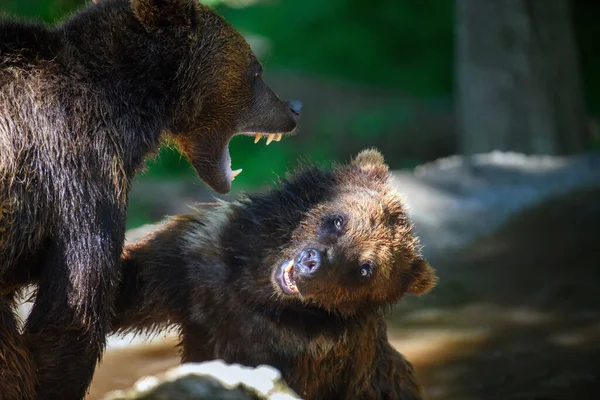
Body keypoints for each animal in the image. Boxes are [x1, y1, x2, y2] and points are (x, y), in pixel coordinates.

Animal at [110, 150, 436, 400]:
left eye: (364, 269)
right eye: (338, 220)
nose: (312, 264)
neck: (258, 293)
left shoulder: (307, 355)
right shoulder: (196, 266)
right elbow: (132, 288)